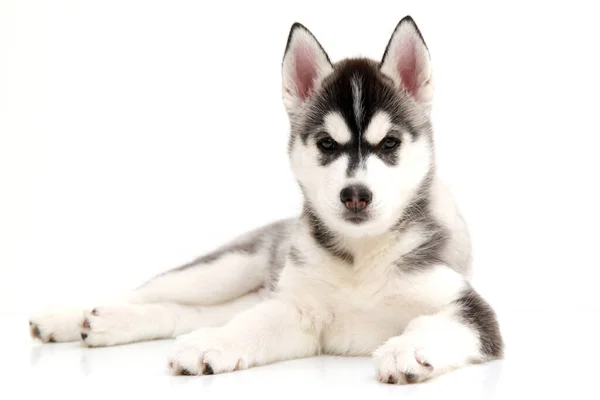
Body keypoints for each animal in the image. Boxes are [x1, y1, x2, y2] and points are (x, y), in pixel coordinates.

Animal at [30, 16, 504, 384]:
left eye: (389, 144)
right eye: (327, 145)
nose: (355, 195)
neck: (361, 255)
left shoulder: (471, 310)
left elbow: (437, 323)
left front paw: (407, 350)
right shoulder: (298, 309)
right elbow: (249, 326)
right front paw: (216, 343)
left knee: (183, 313)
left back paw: (104, 324)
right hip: (226, 268)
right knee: (148, 292)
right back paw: (75, 317)